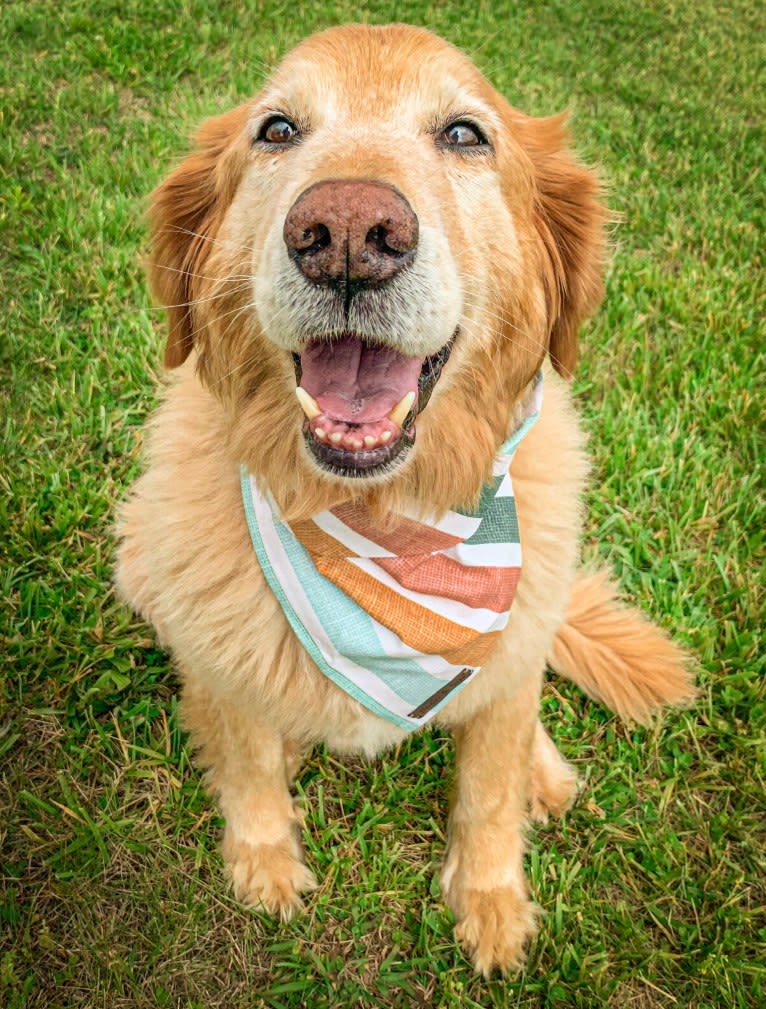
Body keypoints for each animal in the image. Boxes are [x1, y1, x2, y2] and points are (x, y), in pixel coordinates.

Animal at [115, 23, 694, 972]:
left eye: (464, 134)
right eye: (277, 130)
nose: (348, 231)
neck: (383, 519)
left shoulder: (502, 653)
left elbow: (488, 784)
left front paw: (491, 902)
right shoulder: (230, 670)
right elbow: (248, 757)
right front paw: (263, 861)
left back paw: (544, 771)